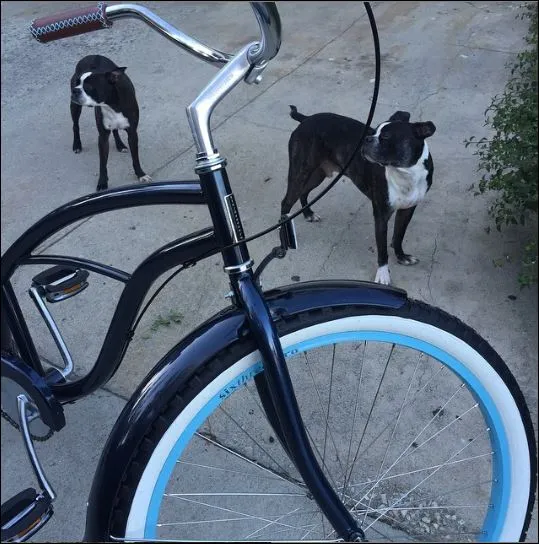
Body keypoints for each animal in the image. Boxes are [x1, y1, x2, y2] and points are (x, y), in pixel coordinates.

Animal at [69, 54, 152, 191]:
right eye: (77, 83)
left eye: (88, 87)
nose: (75, 90)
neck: (111, 105)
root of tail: (92, 55)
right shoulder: (102, 138)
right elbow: (102, 163)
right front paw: (102, 182)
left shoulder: (132, 133)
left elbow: (135, 157)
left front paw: (140, 174)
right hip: (75, 107)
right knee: (75, 125)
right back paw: (77, 145)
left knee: (115, 130)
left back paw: (120, 145)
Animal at [280, 105, 436, 284]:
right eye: (373, 132)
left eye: (386, 136)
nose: (367, 139)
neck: (405, 173)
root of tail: (306, 119)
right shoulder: (381, 215)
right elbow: (382, 249)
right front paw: (383, 274)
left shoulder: (407, 210)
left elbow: (398, 235)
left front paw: (401, 256)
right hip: (301, 172)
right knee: (286, 202)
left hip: (317, 174)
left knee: (304, 192)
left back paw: (308, 214)